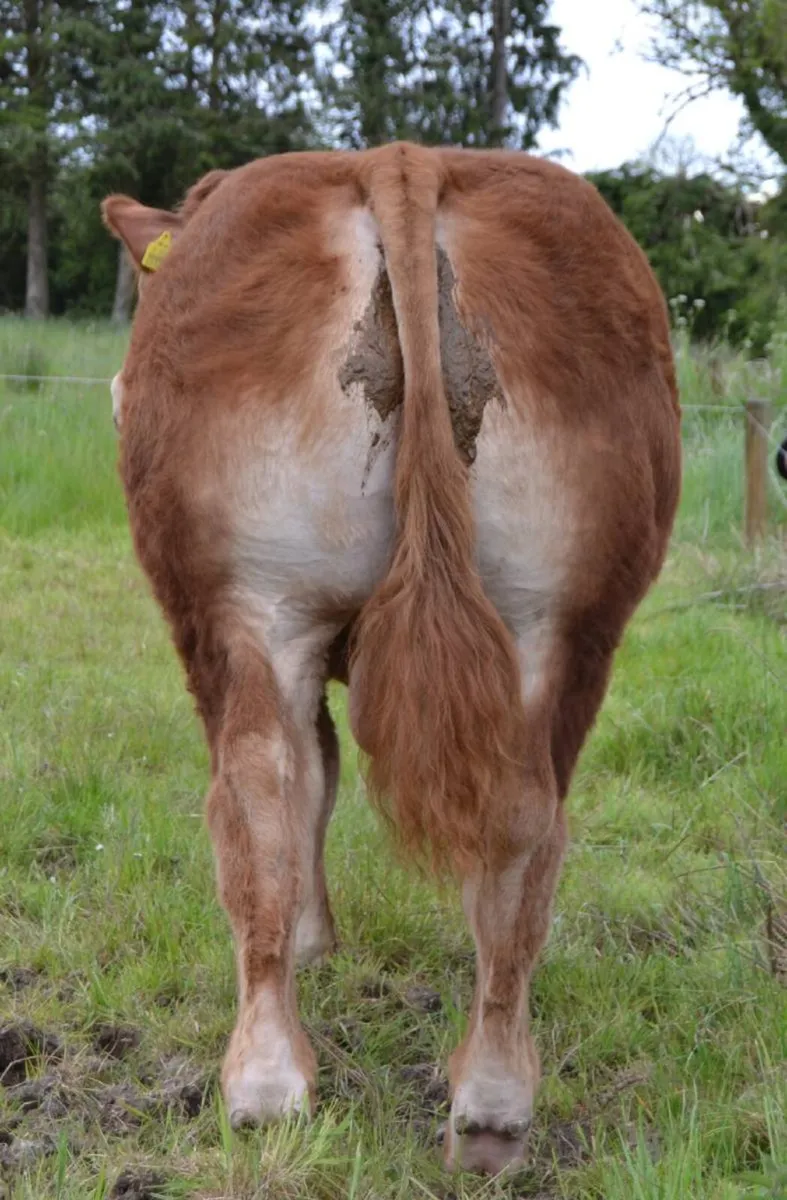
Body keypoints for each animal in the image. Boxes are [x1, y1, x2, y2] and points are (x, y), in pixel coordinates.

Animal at [101, 141, 681, 1176]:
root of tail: (400, 158)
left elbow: (309, 787)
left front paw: (309, 945)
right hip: (559, 622)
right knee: (525, 820)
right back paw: (490, 1106)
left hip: (245, 607)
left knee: (256, 792)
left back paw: (266, 1088)